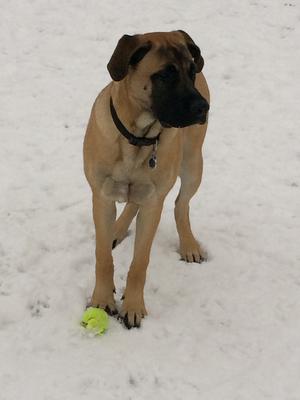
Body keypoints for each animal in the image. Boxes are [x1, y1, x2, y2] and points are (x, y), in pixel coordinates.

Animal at [83, 30, 210, 328]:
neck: (138, 137)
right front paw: (102, 299)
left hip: (192, 164)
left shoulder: (154, 202)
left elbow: (139, 263)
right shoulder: (101, 197)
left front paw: (133, 306)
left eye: (191, 72)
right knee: (132, 203)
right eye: (164, 75)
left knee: (181, 204)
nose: (203, 108)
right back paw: (117, 229)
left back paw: (189, 244)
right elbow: (102, 255)